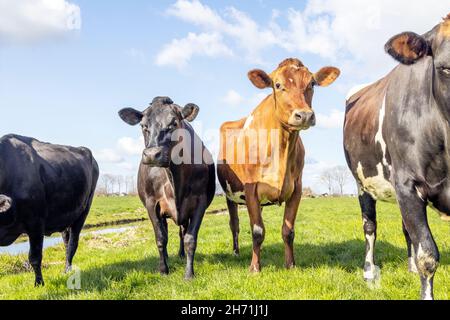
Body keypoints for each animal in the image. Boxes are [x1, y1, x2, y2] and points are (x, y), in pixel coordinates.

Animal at [0, 134, 98, 286]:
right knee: (66, 241)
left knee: (73, 243)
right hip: (66, 215)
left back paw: (67, 270)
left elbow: (34, 257)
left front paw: (39, 283)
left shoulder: (36, 223)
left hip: (84, 211)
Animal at [118, 96, 215, 278]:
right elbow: (161, 237)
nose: (151, 155)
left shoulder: (200, 202)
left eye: (174, 123)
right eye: (143, 126)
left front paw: (189, 273)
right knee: (166, 230)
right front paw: (163, 270)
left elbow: (190, 238)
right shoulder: (152, 203)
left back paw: (181, 255)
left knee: (182, 232)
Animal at [218, 58, 342, 272]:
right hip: (230, 195)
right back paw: (236, 252)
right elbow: (257, 231)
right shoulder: (250, 188)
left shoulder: (297, 188)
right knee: (234, 224)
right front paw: (254, 268)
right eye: (277, 85)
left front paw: (290, 264)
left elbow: (288, 231)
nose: (304, 115)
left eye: (312, 84)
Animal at [344, 14, 450, 300]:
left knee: (406, 230)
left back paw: (409, 268)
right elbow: (428, 256)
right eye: (445, 69)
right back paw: (369, 272)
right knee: (370, 228)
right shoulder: (407, 185)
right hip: (363, 184)